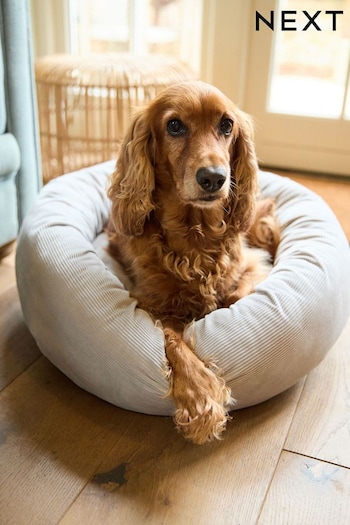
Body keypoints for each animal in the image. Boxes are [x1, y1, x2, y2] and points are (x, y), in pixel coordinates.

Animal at [106, 81, 278, 442]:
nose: (214, 177)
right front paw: (200, 395)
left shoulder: (253, 267)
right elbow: (172, 339)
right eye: (174, 125)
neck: (195, 234)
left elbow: (234, 296)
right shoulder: (150, 303)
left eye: (226, 125)